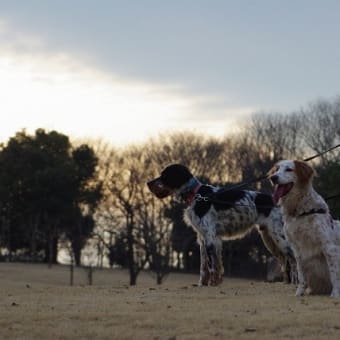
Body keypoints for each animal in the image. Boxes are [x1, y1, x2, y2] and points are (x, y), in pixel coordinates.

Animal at [147, 163, 296, 286]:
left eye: (164, 175)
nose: (148, 183)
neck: (196, 195)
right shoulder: (203, 238)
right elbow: (205, 267)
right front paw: (204, 284)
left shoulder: (210, 237)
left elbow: (212, 265)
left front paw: (212, 284)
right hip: (269, 239)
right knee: (285, 260)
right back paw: (286, 282)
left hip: (278, 236)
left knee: (293, 258)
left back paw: (295, 282)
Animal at [270, 161, 340, 296]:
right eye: (277, 170)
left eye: (289, 169)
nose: (273, 177)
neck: (300, 212)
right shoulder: (297, 249)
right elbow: (301, 275)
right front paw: (299, 293)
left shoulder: (329, 247)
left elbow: (334, 273)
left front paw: (335, 294)